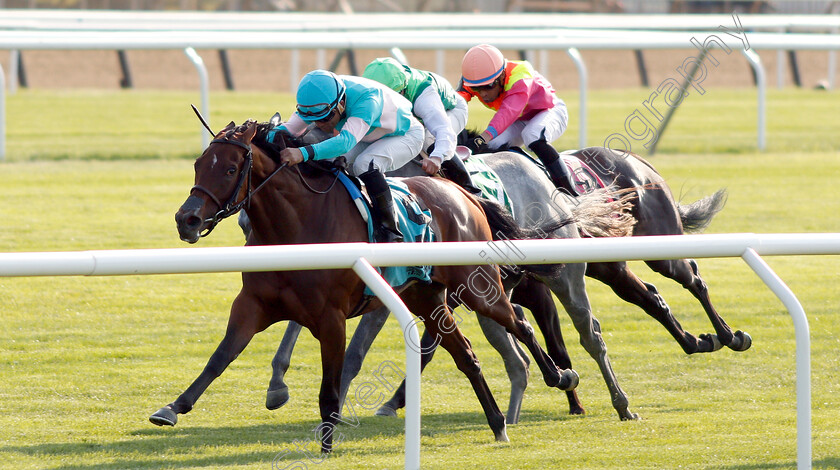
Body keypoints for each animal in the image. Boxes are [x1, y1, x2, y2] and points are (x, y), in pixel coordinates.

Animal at [154, 118, 580, 452]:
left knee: (520, 324)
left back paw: (561, 376)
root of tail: (463, 193)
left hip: (479, 289)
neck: (298, 223)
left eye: (229, 170)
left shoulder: (331, 318)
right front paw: (172, 408)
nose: (186, 219)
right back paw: (497, 424)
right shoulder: (252, 305)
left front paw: (326, 445)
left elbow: (332, 385)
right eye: (197, 165)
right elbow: (220, 356)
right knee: (467, 356)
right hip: (427, 298)